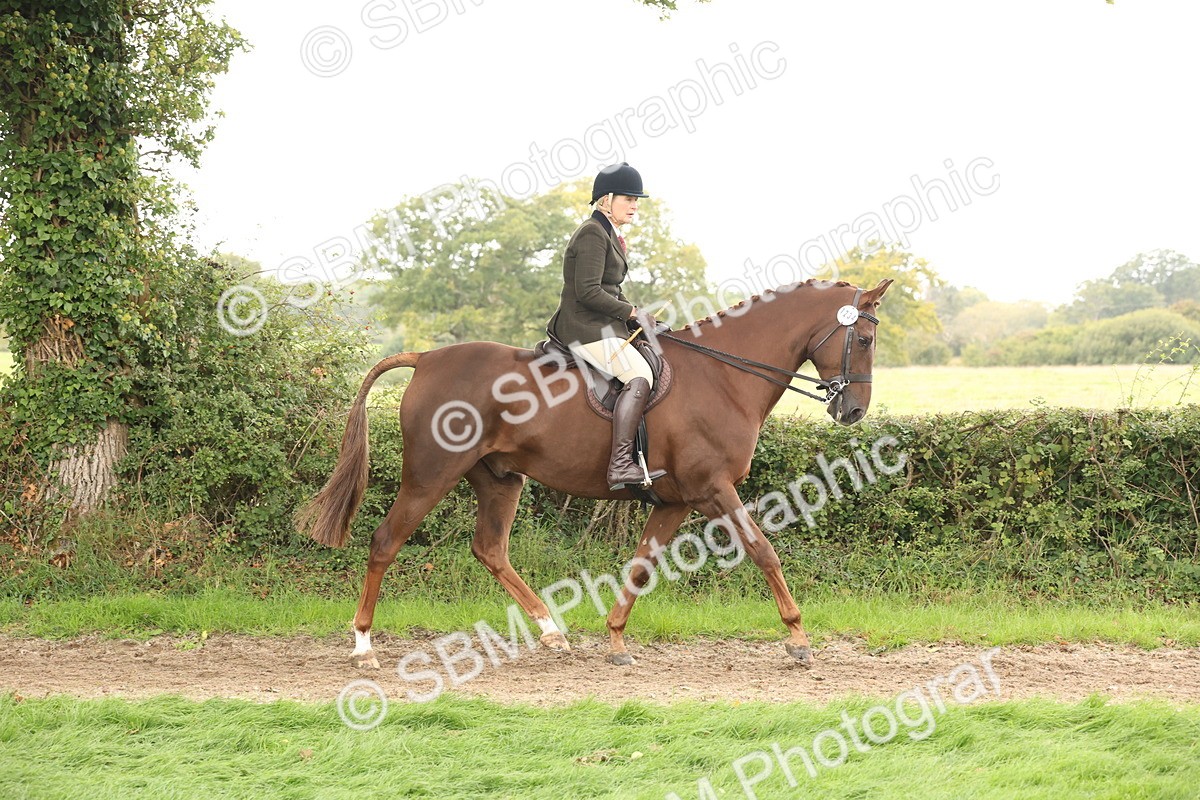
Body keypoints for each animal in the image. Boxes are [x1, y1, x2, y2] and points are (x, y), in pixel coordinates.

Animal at [297, 277, 893, 669]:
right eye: (864, 340)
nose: (853, 411)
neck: (724, 375)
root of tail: (424, 359)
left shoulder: (676, 501)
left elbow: (640, 567)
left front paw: (615, 639)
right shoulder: (713, 490)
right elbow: (763, 549)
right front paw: (798, 638)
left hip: (499, 479)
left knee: (490, 549)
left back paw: (551, 632)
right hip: (430, 474)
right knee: (385, 541)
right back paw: (364, 647)